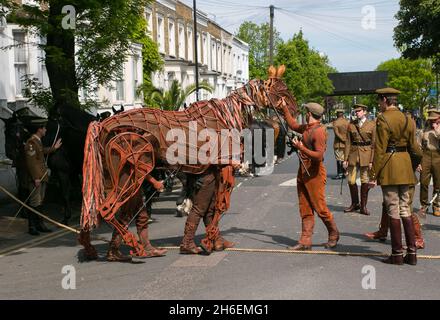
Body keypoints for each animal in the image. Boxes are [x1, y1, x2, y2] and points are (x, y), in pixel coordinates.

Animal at [79, 66, 300, 258]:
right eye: (282, 89)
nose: (296, 110)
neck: (228, 115)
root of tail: (103, 125)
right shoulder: (224, 166)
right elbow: (220, 206)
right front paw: (208, 242)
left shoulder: (211, 170)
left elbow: (209, 209)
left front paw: (214, 242)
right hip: (132, 174)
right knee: (105, 209)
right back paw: (134, 247)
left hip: (116, 176)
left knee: (101, 208)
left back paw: (106, 251)